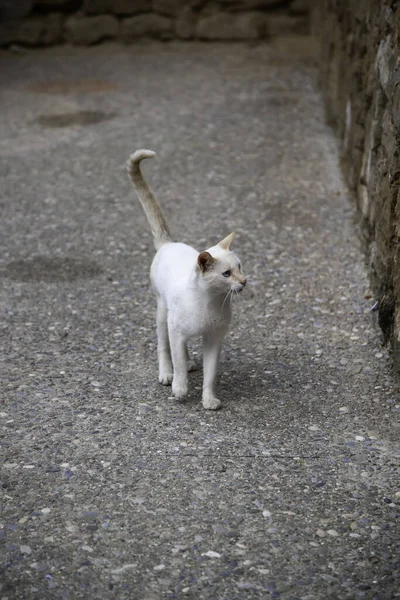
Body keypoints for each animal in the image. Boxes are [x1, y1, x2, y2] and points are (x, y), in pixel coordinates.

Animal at [128, 149, 247, 408]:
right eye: (226, 274)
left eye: (240, 267)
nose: (244, 281)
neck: (210, 303)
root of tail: (169, 244)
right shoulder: (176, 329)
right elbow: (178, 363)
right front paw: (180, 389)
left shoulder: (214, 339)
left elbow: (210, 374)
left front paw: (209, 400)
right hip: (163, 312)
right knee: (164, 346)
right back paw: (166, 374)